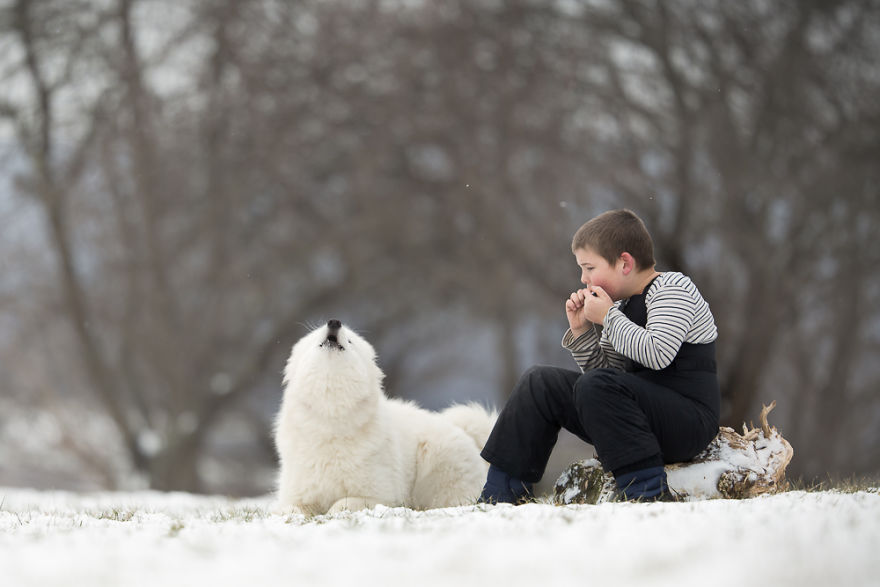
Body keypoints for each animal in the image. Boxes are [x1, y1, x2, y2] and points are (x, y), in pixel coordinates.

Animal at [276, 320, 496, 516]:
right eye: (316, 337)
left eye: (351, 341)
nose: (334, 322)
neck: (331, 415)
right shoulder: (299, 492)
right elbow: (290, 507)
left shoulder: (381, 496)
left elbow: (343, 503)